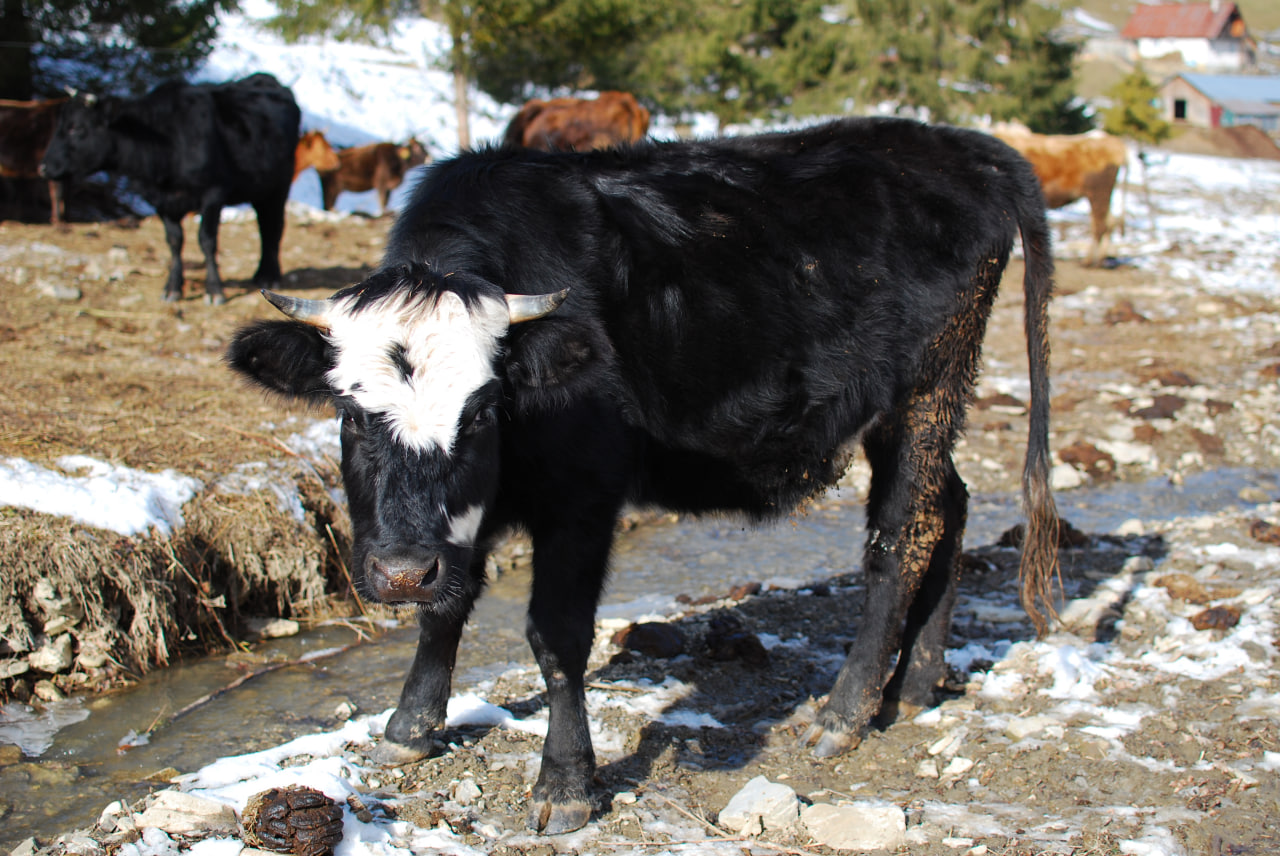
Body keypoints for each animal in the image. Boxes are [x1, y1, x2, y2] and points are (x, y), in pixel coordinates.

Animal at [39, 72, 299, 303]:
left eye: (76, 127)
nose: (44, 167)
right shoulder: (160, 200)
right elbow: (174, 241)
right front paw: (173, 288)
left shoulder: (213, 193)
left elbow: (207, 240)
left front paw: (214, 290)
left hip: (278, 185)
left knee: (271, 228)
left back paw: (268, 275)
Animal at [227, 117, 1059, 829]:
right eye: (349, 413)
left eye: (483, 411)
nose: (399, 573)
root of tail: (965, 146)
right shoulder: (459, 527)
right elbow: (446, 609)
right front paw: (411, 724)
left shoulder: (583, 496)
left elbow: (556, 634)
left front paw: (564, 783)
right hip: (932, 404)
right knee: (950, 505)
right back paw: (915, 684)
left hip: (924, 389)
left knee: (903, 532)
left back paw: (845, 712)